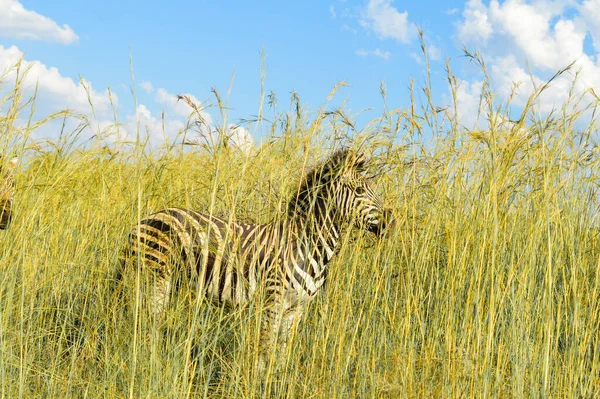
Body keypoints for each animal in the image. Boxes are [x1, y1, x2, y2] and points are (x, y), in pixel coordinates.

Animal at [120, 149, 394, 362]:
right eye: (359, 190)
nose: (391, 222)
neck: (306, 245)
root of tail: (146, 218)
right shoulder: (272, 301)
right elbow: (265, 350)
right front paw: (261, 382)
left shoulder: (296, 309)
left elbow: (282, 353)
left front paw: (278, 382)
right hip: (155, 277)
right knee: (146, 322)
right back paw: (150, 363)